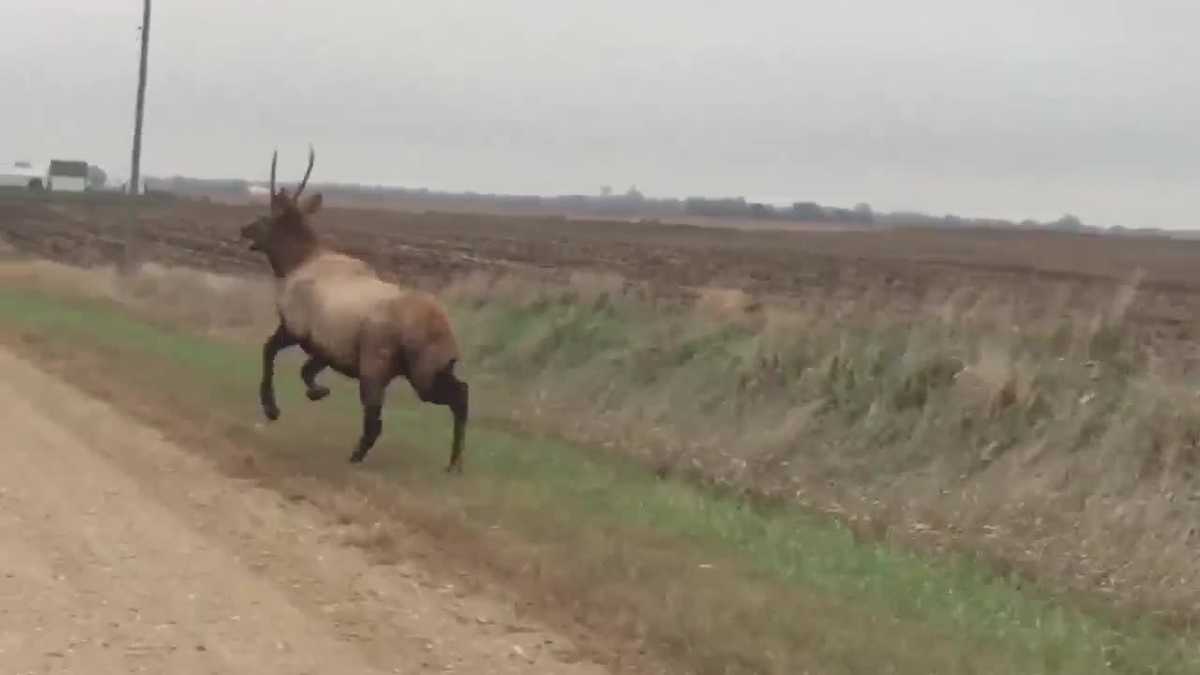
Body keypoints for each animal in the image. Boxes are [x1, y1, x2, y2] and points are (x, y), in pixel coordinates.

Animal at [240, 146, 469, 472]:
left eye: (267, 216)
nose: (244, 229)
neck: (298, 261)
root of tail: (440, 331)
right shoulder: (327, 349)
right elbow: (306, 372)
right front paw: (319, 391)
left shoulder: (295, 329)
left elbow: (268, 350)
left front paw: (272, 408)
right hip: (426, 371)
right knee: (461, 394)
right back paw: (453, 465)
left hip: (384, 370)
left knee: (377, 420)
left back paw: (355, 456)